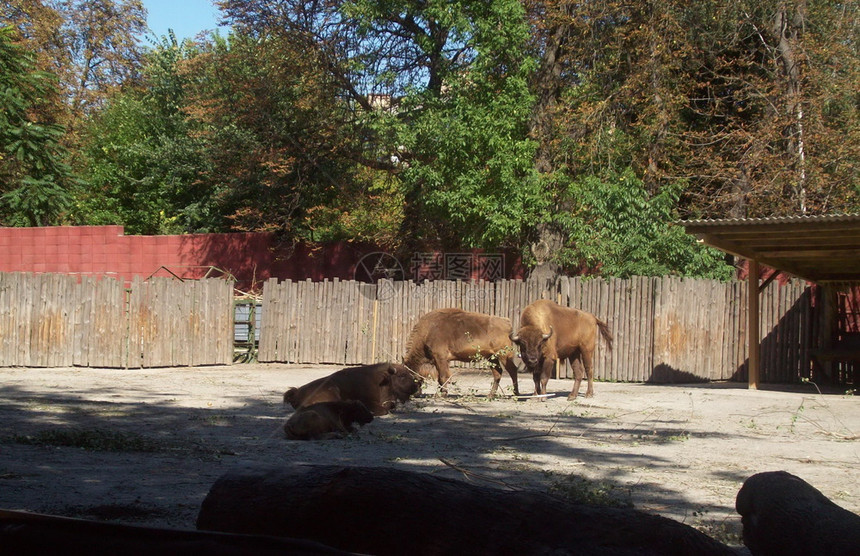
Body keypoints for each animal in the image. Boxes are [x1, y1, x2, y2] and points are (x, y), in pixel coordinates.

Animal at [284, 360, 422, 416]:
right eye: (402, 376)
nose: (416, 387)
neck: (383, 380)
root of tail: (296, 392)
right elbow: (383, 410)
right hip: (332, 390)